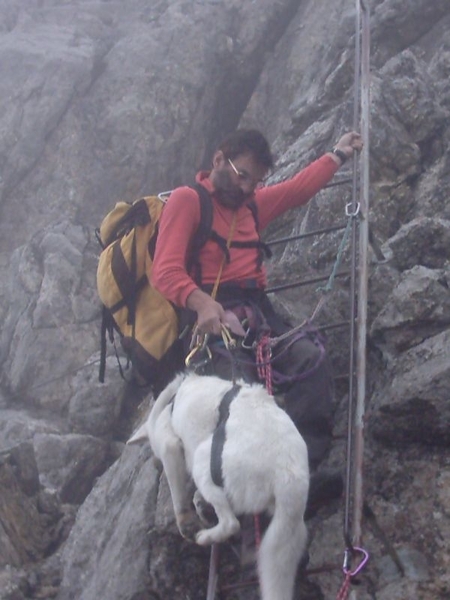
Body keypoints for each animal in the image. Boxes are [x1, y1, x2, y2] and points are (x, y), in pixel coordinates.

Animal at [128, 372, 308, 596]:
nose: (154, 463)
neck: (166, 404)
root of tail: (288, 475)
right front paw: (200, 506)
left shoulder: (170, 447)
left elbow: (178, 497)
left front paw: (186, 523)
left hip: (203, 460)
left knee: (231, 523)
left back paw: (206, 536)